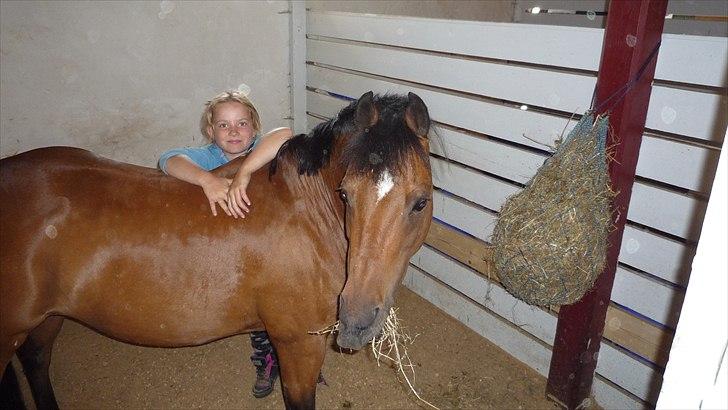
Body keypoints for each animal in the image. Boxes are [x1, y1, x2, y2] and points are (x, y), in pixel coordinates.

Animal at [0, 91, 432, 408]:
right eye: (345, 194)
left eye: (420, 202)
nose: (357, 321)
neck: (307, 213)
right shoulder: (298, 343)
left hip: (46, 320)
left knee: (36, 362)